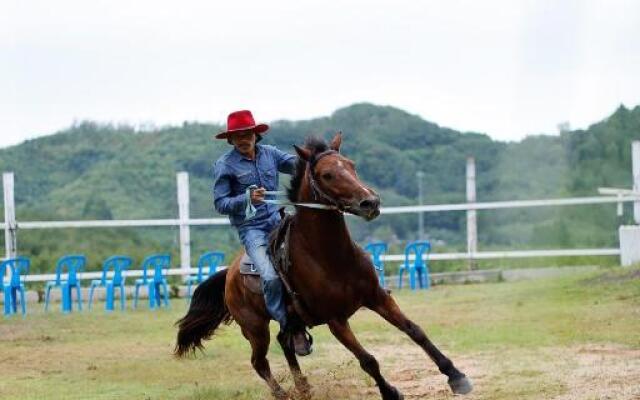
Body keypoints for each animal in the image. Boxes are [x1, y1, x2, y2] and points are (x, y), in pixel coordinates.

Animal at [174, 133, 470, 398]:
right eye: (327, 175)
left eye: (351, 165)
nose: (370, 202)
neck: (333, 257)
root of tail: (229, 275)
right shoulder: (335, 320)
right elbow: (368, 360)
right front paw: (390, 392)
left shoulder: (378, 297)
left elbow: (415, 331)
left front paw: (456, 376)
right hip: (255, 329)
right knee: (259, 362)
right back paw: (284, 394)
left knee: (285, 344)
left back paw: (303, 387)